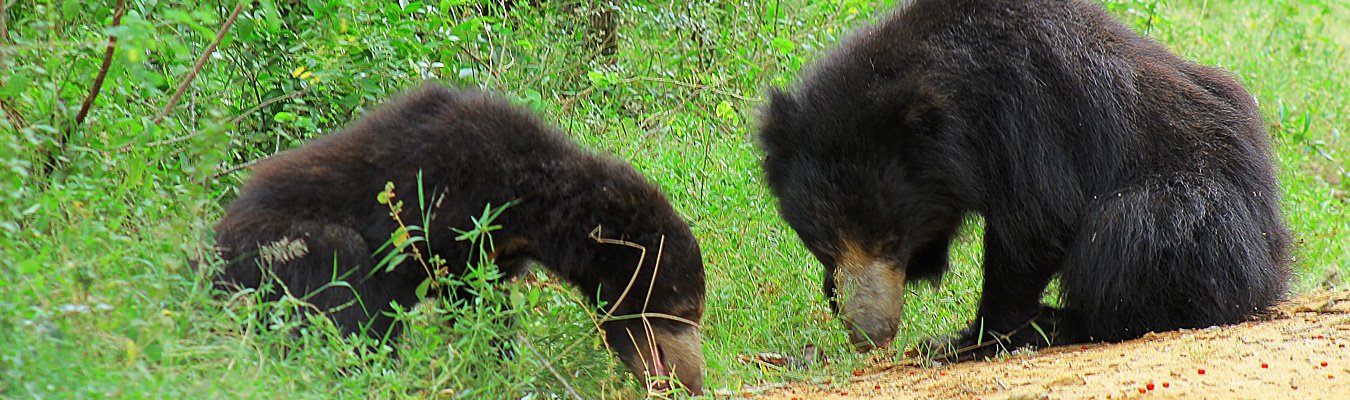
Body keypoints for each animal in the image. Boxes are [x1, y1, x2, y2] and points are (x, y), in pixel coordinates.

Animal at [210, 82, 707, 391]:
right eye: (682, 311)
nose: (691, 382)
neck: (531, 201)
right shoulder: (442, 208)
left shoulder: (496, 251)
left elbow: (486, 304)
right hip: (276, 247)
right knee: (340, 278)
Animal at [761, 0, 1296, 359]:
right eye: (824, 244)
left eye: (890, 241)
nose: (869, 334)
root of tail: (1275, 264)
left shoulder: (1028, 115)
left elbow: (1037, 221)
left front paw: (969, 340)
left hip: (1198, 217)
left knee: (1123, 233)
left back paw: (1062, 324)